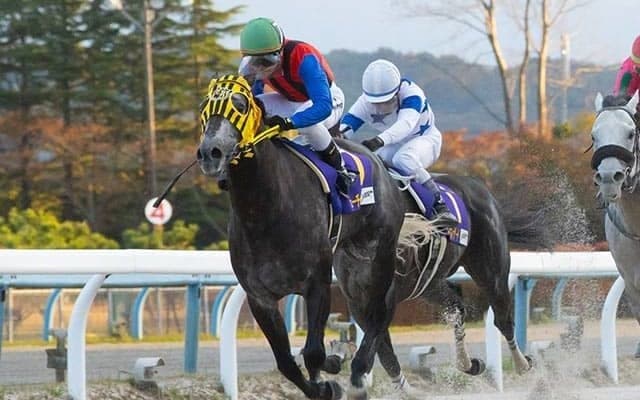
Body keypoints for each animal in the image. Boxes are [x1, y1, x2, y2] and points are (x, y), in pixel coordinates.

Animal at [195, 75, 428, 399]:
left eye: (239, 105)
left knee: (379, 313)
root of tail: (380, 164)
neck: (265, 210)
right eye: (204, 106)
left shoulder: (317, 283)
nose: (210, 152)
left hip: (379, 254)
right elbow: (287, 363)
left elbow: (313, 353)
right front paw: (326, 377)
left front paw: (331, 375)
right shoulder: (259, 297)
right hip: (351, 259)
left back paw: (358, 372)